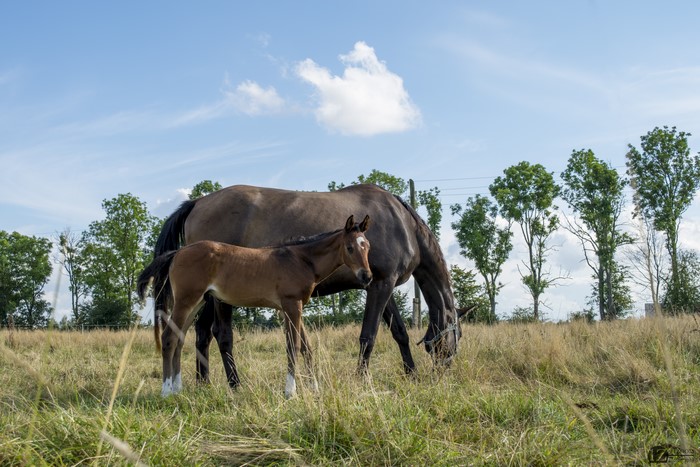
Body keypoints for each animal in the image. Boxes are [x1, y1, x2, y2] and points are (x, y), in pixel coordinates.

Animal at [138, 215, 372, 398]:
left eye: (367, 246)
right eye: (350, 247)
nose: (367, 276)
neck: (300, 259)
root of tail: (178, 253)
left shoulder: (291, 308)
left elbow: (307, 346)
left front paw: (314, 388)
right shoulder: (291, 304)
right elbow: (293, 346)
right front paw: (291, 391)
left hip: (196, 302)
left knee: (179, 338)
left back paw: (178, 389)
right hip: (185, 301)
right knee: (169, 338)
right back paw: (166, 391)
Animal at [152, 183, 462, 388]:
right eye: (456, 337)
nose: (444, 373)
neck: (403, 224)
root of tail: (197, 203)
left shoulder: (377, 284)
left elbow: (399, 331)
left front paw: (411, 374)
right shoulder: (381, 285)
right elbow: (369, 335)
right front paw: (362, 379)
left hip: (208, 295)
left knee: (201, 332)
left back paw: (203, 383)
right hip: (218, 298)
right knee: (221, 333)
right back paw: (234, 384)